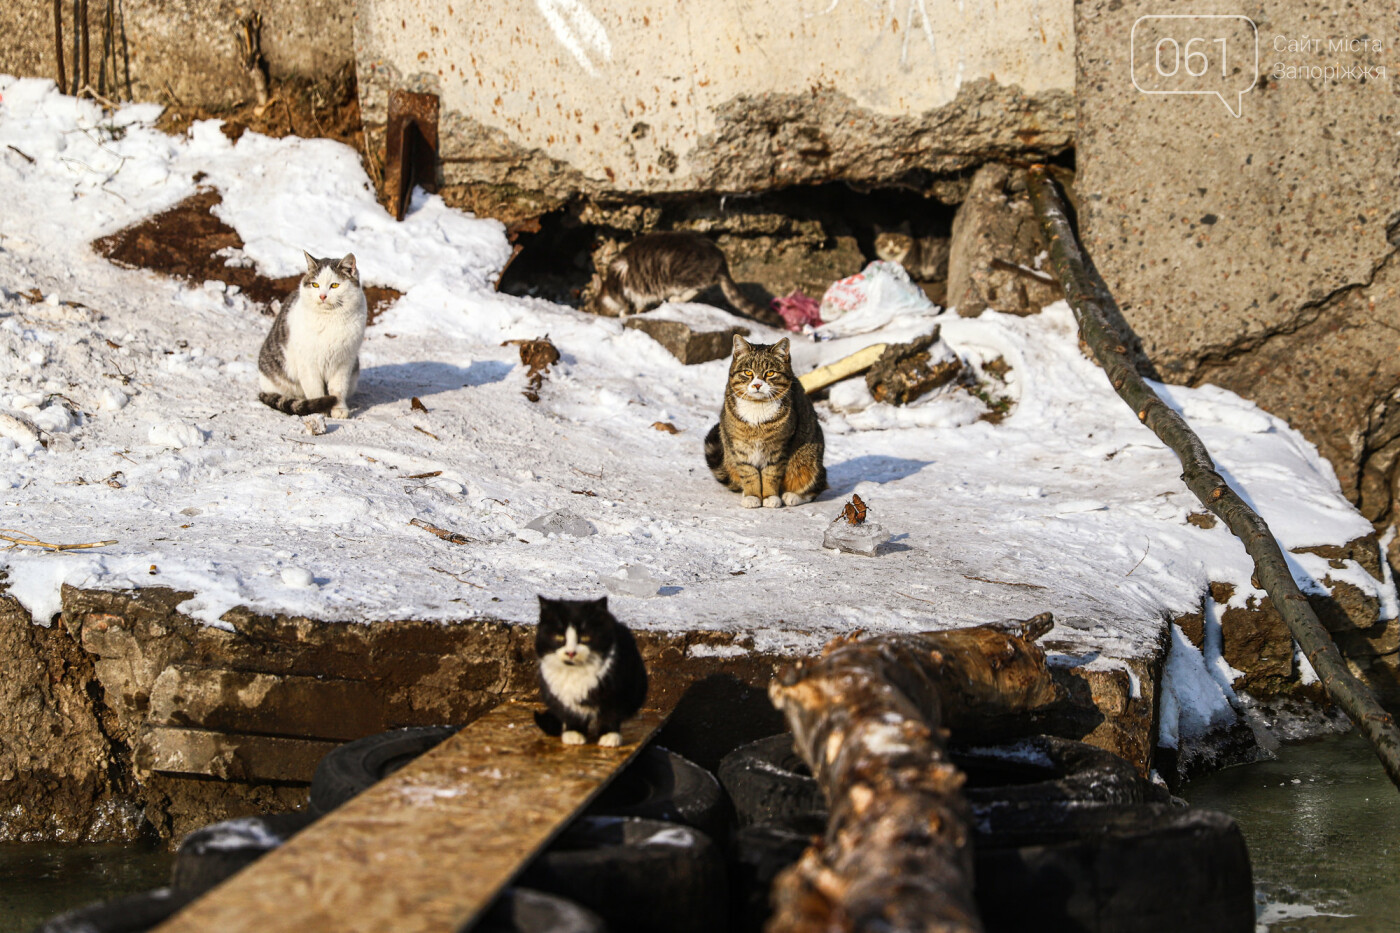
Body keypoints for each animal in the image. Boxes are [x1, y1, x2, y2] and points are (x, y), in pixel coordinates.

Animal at [257, 250, 366, 417]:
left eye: (334, 285)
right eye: (315, 285)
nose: (322, 296)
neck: (330, 320)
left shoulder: (344, 362)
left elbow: (338, 389)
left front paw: (339, 410)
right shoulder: (308, 364)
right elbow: (315, 391)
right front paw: (320, 411)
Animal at [532, 596, 646, 750]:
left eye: (585, 638)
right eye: (559, 638)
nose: (571, 652)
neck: (575, 672)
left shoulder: (615, 690)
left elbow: (610, 714)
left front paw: (609, 736)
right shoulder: (561, 695)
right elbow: (571, 714)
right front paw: (574, 733)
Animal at [705, 334, 823, 509]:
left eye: (770, 373)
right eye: (748, 372)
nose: (757, 384)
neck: (757, 409)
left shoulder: (779, 447)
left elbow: (771, 474)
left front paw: (770, 496)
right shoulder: (739, 447)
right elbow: (749, 473)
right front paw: (752, 495)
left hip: (808, 459)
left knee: (817, 484)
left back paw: (793, 496)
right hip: (729, 457)